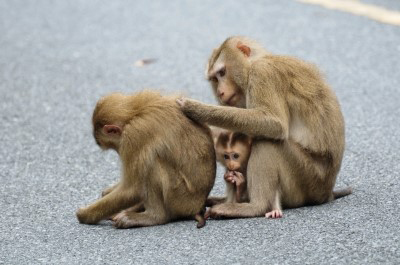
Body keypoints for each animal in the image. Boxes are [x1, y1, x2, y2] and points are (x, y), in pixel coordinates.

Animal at [77, 90, 217, 227]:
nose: (119, 151)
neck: (135, 113)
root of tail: (198, 205)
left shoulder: (134, 136)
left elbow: (132, 189)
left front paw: (84, 214)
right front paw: (108, 191)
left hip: (181, 199)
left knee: (153, 163)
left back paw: (154, 217)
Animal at [177, 37, 350, 219]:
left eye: (222, 73)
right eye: (214, 79)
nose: (220, 92)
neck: (253, 64)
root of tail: (327, 193)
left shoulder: (262, 74)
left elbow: (274, 123)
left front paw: (195, 109)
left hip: (309, 177)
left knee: (268, 142)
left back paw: (254, 207)